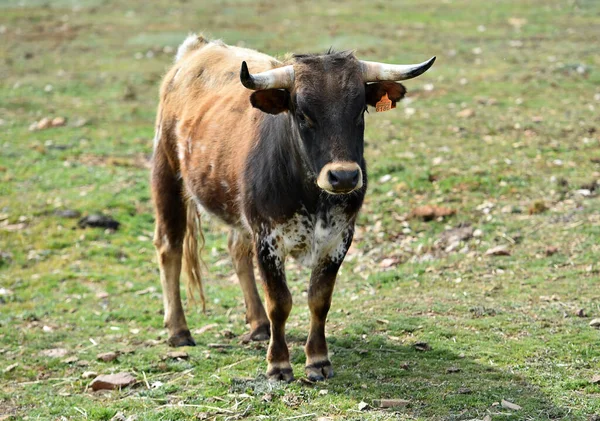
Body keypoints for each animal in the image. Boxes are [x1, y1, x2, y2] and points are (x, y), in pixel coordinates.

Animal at [152, 34, 434, 378]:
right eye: (302, 114)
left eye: (359, 112)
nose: (344, 176)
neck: (311, 197)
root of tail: (198, 49)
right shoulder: (267, 239)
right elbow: (280, 302)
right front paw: (278, 363)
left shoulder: (338, 240)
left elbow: (319, 299)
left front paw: (318, 360)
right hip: (167, 174)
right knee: (170, 248)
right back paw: (179, 330)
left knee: (236, 251)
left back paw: (258, 324)